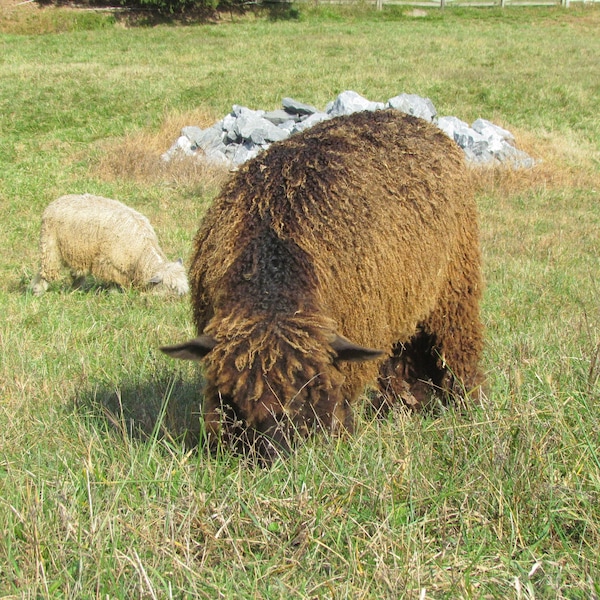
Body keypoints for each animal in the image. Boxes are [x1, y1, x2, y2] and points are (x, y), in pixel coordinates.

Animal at [30, 192, 189, 296]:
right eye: (171, 287)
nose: (183, 299)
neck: (141, 253)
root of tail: (57, 201)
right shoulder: (110, 262)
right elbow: (113, 281)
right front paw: (114, 293)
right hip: (50, 245)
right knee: (45, 271)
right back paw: (38, 290)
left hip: (78, 251)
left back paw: (75, 288)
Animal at [162, 110, 486, 462]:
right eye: (237, 398)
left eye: (306, 393)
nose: (275, 458)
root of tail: (405, 117)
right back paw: (407, 404)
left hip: (455, 286)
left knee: (458, 348)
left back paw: (467, 403)